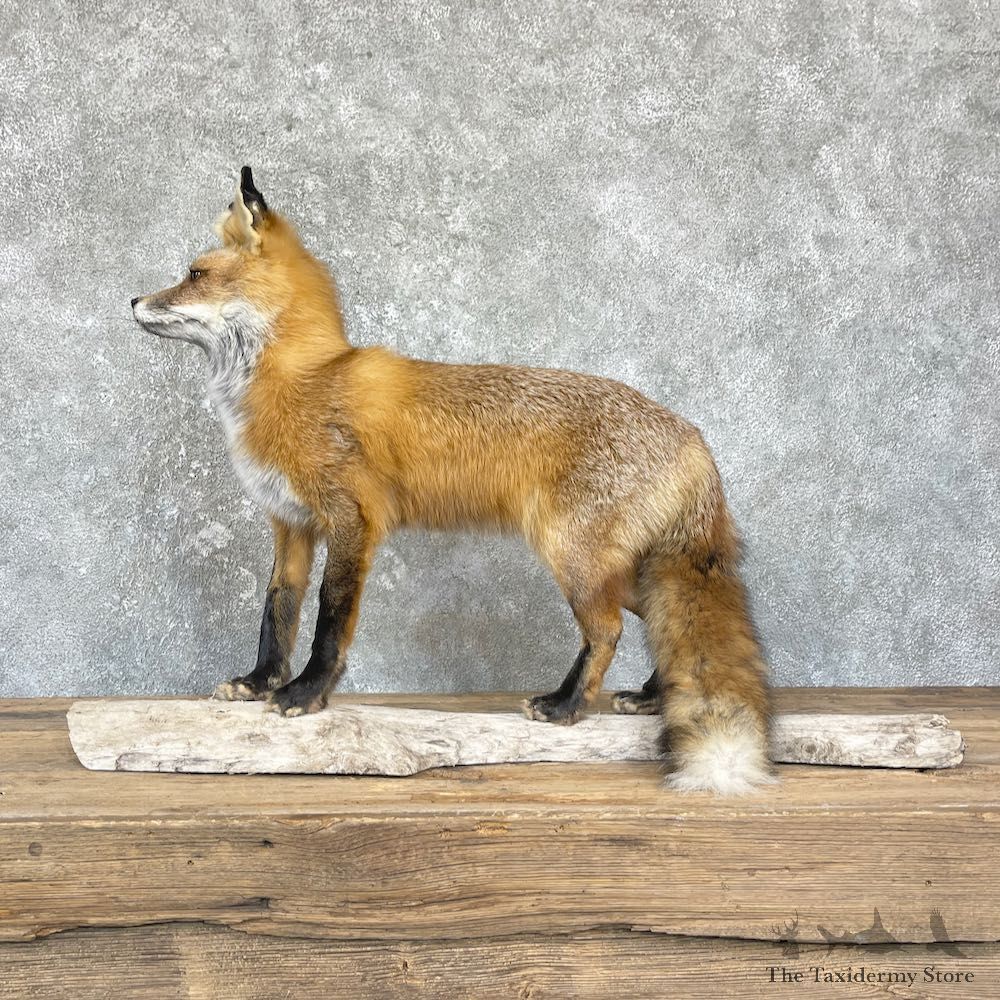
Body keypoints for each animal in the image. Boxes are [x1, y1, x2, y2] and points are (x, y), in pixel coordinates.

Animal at [131, 167, 773, 794]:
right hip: (619, 569)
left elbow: (328, 618)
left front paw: (307, 694)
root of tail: (695, 438)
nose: (132, 299)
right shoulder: (290, 523)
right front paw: (259, 681)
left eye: (193, 275)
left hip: (573, 558)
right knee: (663, 625)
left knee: (608, 630)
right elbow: (277, 611)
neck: (302, 380)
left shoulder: (351, 521)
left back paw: (566, 706)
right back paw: (652, 697)